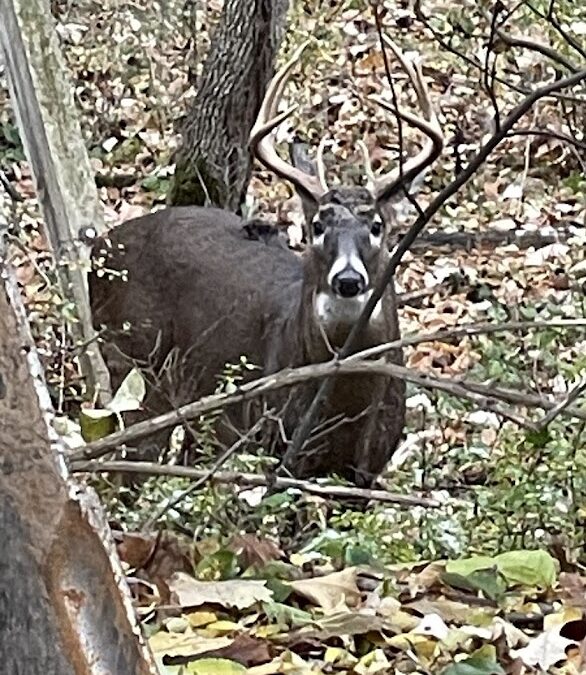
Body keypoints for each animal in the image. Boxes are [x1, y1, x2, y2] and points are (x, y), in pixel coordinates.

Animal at [89, 37, 440, 486]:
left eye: (377, 225)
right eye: (317, 226)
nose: (347, 279)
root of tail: (99, 249)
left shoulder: (368, 469)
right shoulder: (263, 439)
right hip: (133, 360)